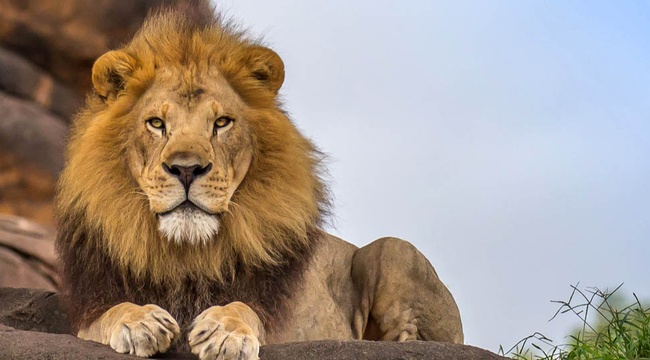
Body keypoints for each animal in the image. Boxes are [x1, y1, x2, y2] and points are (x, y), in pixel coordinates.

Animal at [54, 3, 460, 360]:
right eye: (156, 123)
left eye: (221, 123)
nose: (186, 169)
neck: (187, 255)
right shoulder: (90, 308)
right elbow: (110, 313)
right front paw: (140, 322)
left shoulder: (279, 320)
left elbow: (243, 307)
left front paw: (224, 332)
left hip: (394, 250)